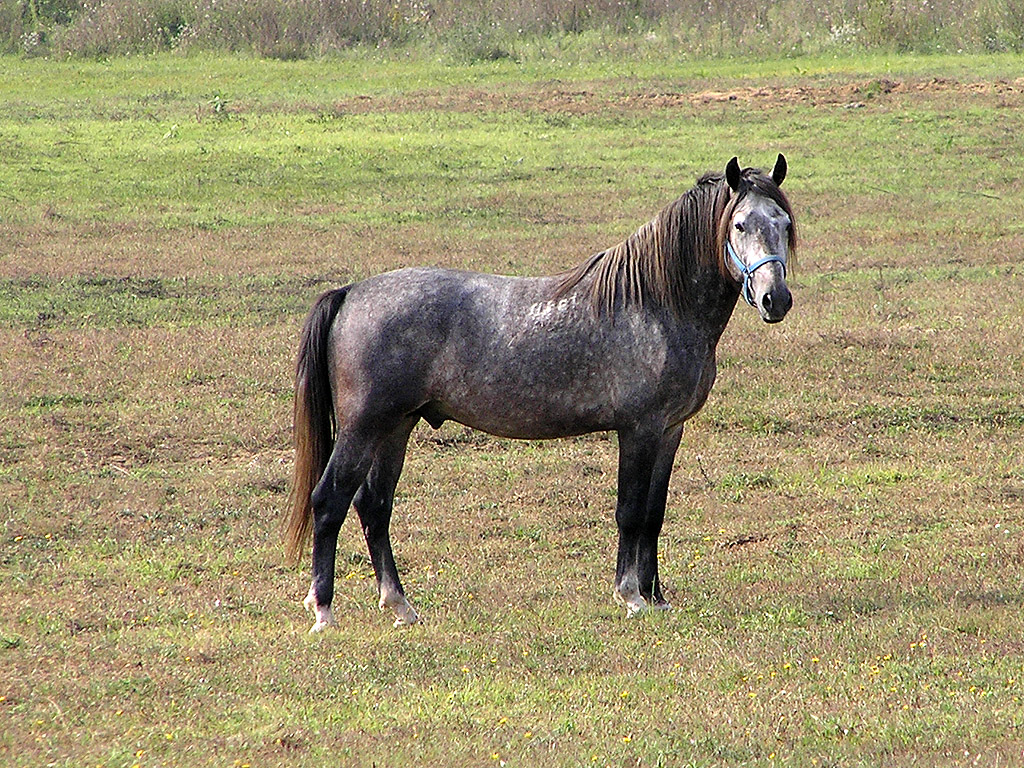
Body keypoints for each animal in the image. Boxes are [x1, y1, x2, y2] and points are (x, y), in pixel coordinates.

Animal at [284, 154, 794, 630]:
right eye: (740, 224)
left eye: (784, 223)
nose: (777, 299)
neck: (655, 303)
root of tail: (351, 293)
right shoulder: (640, 429)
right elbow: (630, 511)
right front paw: (631, 596)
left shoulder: (670, 431)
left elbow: (654, 513)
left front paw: (657, 597)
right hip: (364, 427)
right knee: (329, 502)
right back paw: (324, 610)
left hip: (396, 427)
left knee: (375, 507)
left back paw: (400, 606)